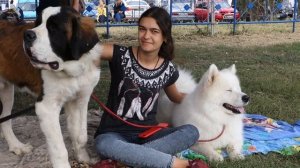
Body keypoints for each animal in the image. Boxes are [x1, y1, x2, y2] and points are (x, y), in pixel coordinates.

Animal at [0, 6, 102, 167]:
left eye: (53, 29)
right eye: (37, 23)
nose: (27, 34)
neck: (71, 69)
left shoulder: (80, 100)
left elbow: (81, 135)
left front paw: (83, 158)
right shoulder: (47, 108)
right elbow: (59, 149)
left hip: (6, 92)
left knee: (4, 118)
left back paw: (16, 146)